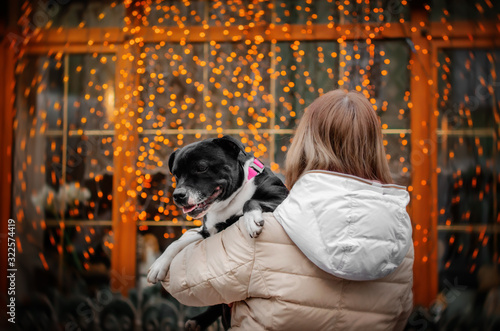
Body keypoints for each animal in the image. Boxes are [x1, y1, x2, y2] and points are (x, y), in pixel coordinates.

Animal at [146, 136, 288, 330]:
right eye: (176, 175)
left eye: (201, 167)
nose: (178, 195)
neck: (230, 199)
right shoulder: (206, 231)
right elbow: (179, 240)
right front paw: (159, 264)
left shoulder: (282, 201)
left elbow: (250, 202)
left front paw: (251, 219)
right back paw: (199, 320)